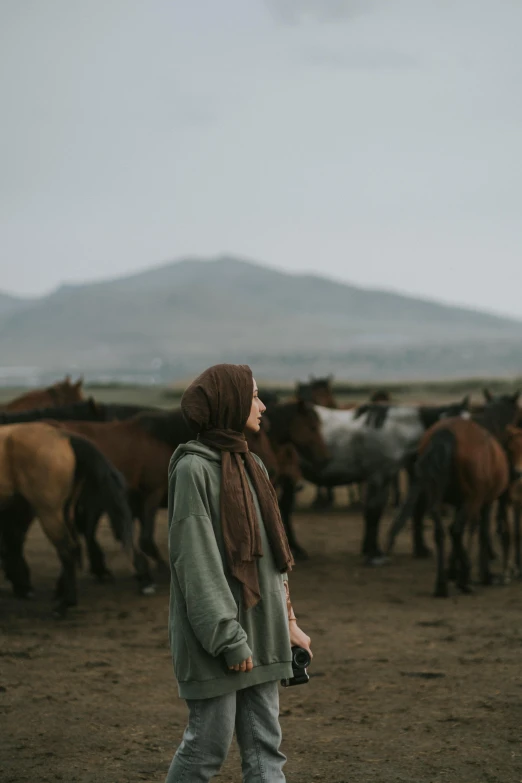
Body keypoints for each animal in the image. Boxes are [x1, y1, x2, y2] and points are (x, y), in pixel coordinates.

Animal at [0, 420, 134, 616]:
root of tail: (64, 437)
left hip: (49, 513)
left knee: (67, 550)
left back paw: (64, 604)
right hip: (64, 511)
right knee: (73, 547)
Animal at [384, 388, 516, 596]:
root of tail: (444, 435)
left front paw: (453, 570)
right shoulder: (483, 501)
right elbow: (481, 532)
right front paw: (482, 573)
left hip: (435, 498)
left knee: (440, 532)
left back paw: (441, 584)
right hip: (471, 499)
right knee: (456, 530)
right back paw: (463, 579)